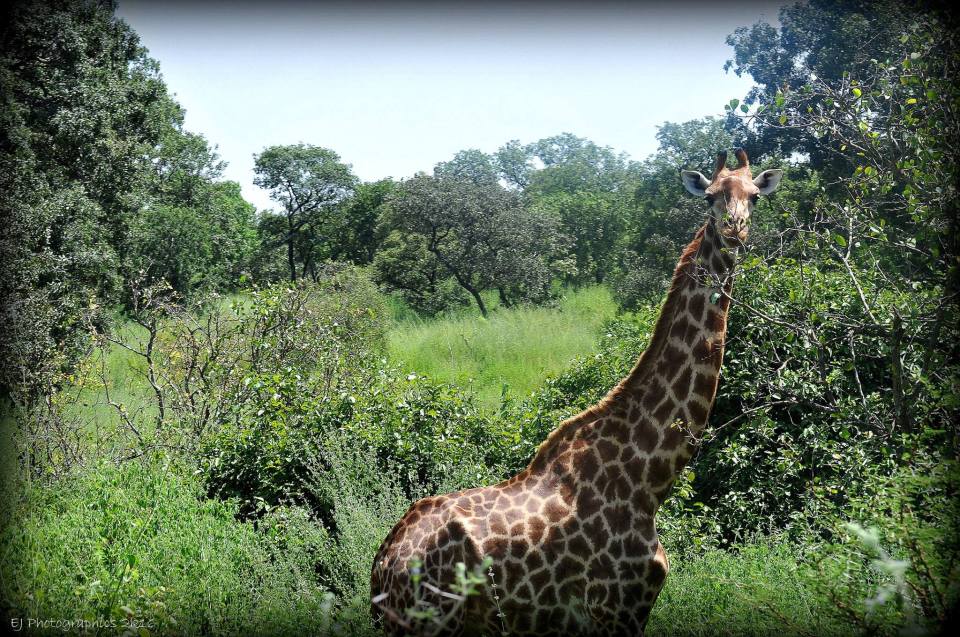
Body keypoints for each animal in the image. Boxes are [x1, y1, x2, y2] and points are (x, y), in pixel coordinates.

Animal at [370, 148, 783, 636]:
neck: (648, 479)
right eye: (710, 197)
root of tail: (382, 569)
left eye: (754, 197)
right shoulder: (613, 608)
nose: (734, 229)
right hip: (429, 623)